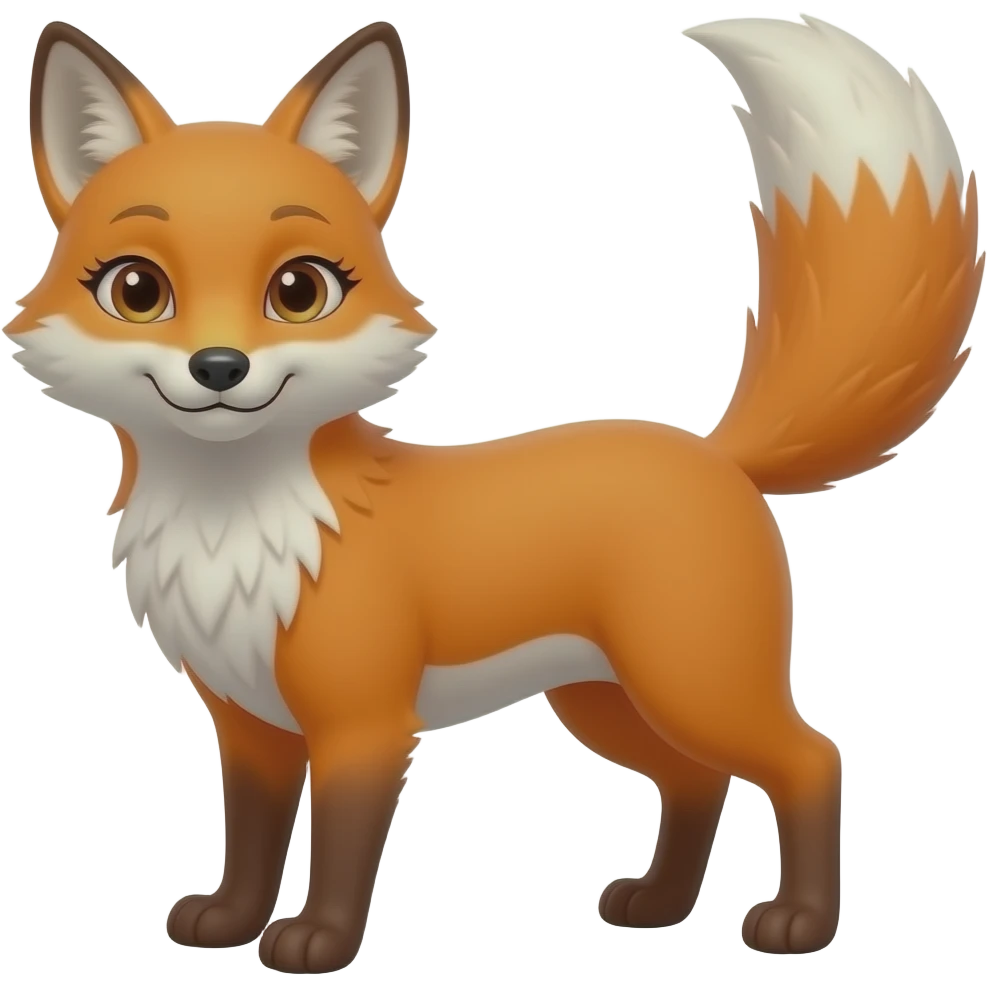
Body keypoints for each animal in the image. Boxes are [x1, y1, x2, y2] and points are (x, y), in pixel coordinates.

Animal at [5, 14, 983, 973]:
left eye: (299, 289)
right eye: (137, 289)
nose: (219, 367)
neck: (236, 526)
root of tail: (714, 454)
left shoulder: (364, 724)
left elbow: (341, 850)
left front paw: (318, 941)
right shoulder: (251, 725)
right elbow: (249, 839)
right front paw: (230, 919)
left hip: (694, 683)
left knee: (811, 759)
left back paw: (799, 923)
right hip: (606, 701)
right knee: (695, 778)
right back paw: (659, 905)